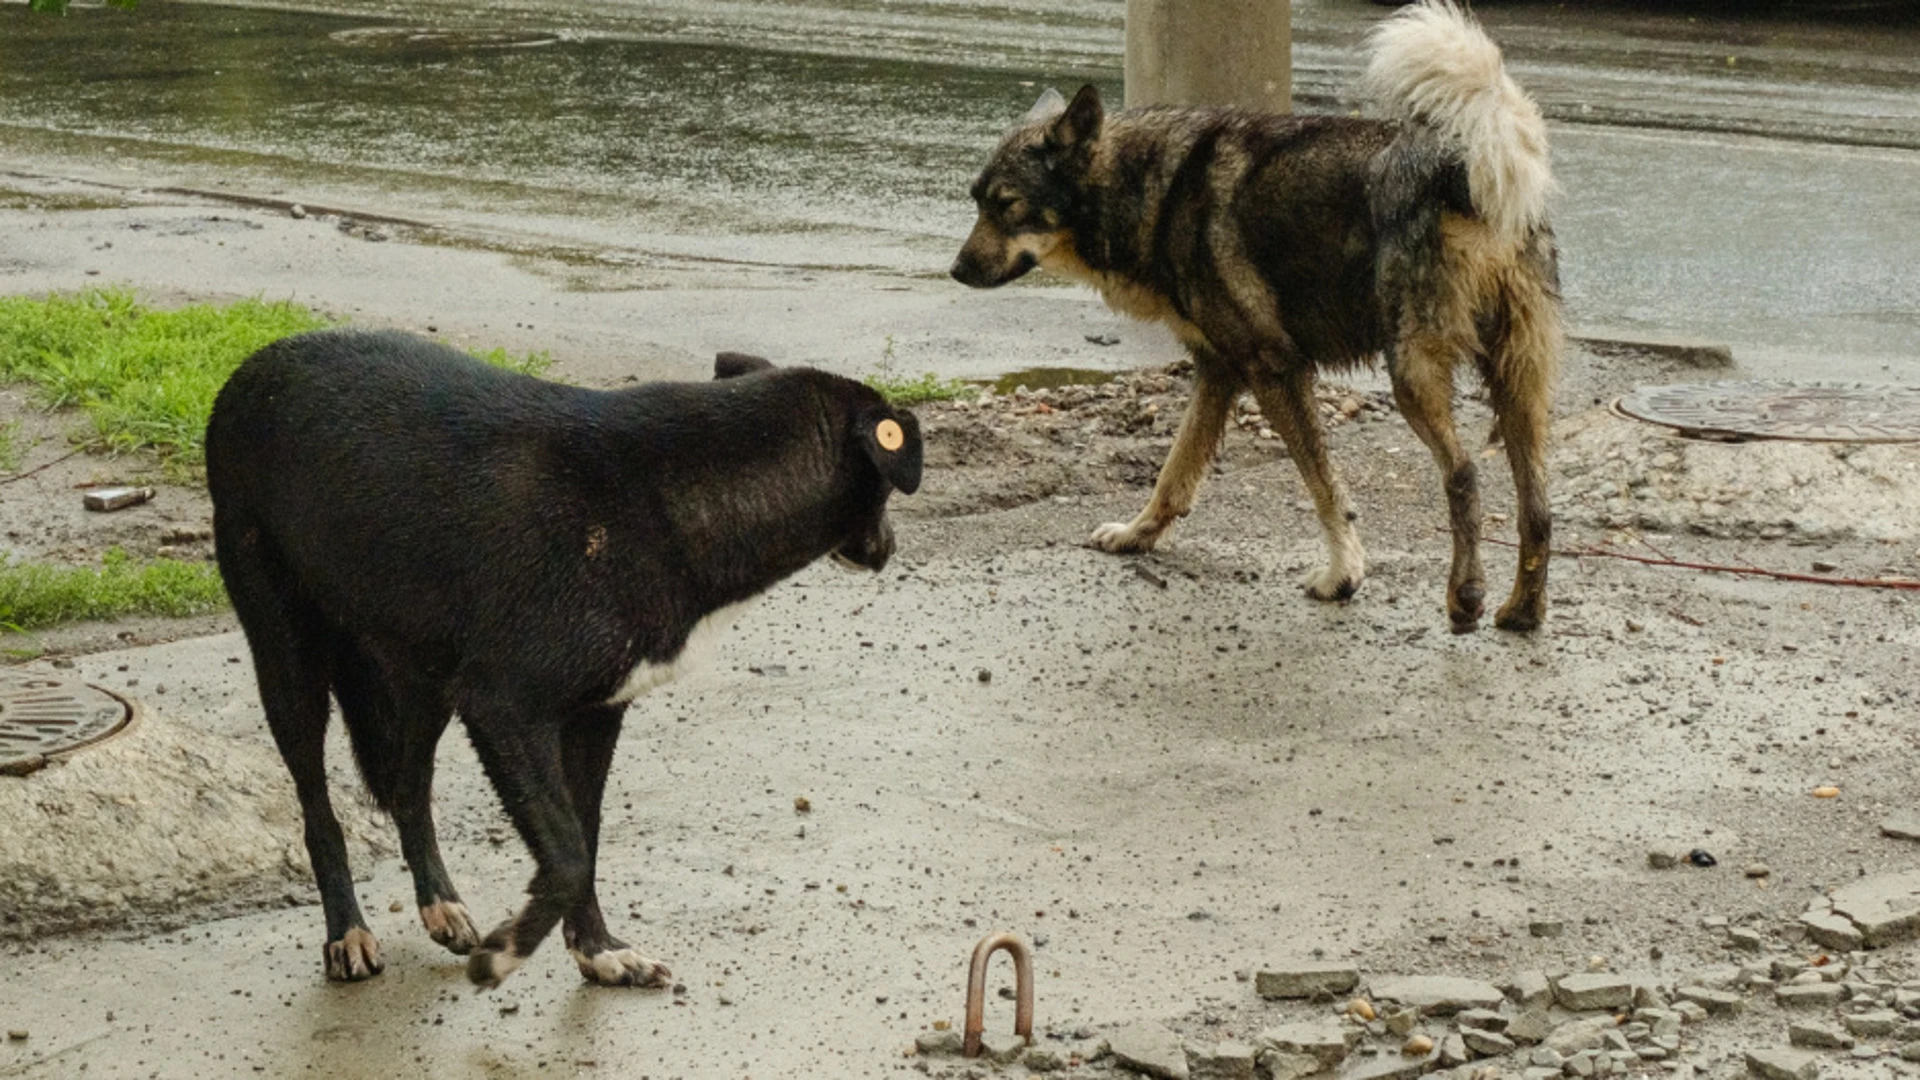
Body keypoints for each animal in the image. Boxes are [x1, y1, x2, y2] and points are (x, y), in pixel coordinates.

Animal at [206, 328, 925, 983]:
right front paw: (510, 949)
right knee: (318, 806)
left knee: (409, 788)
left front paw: (598, 952)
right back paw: (346, 932)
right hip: (288, 654)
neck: (676, 490)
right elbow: (570, 850)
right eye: (887, 495)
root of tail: (252, 367)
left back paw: (439, 903)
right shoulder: (505, 708)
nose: (890, 549)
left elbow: (584, 834)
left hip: (424, 673)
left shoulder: (594, 712)